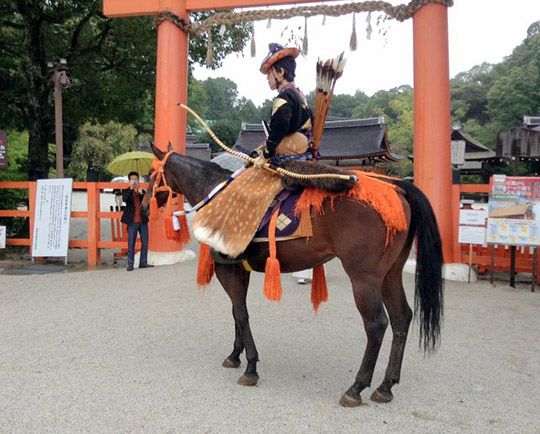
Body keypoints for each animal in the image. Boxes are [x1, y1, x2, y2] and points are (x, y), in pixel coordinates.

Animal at [141, 143, 440, 406]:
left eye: (150, 174)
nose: (143, 206)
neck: (215, 195)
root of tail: (398, 187)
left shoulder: (228, 267)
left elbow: (241, 314)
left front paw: (250, 366)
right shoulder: (239, 269)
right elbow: (237, 312)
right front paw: (235, 355)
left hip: (364, 277)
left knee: (377, 324)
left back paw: (356, 387)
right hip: (390, 273)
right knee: (402, 318)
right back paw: (386, 386)